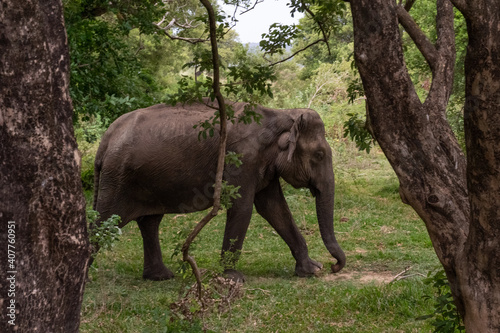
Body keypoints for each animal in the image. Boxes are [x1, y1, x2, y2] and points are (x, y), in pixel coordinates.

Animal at [92, 98, 344, 280]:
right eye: (319, 155)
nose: (333, 266)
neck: (281, 114)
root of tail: (106, 139)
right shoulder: (242, 158)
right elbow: (242, 207)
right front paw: (233, 277)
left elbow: (274, 208)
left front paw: (311, 270)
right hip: (118, 178)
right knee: (105, 222)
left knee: (149, 222)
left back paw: (160, 276)